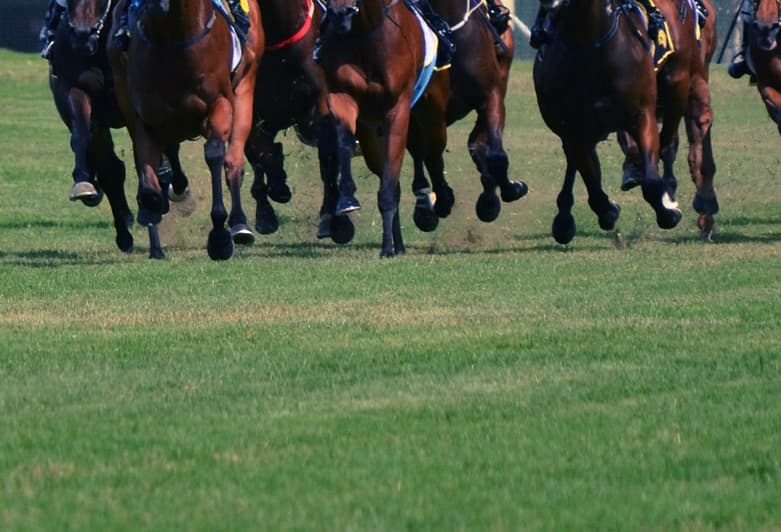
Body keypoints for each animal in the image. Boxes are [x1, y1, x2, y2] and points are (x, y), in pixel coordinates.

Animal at [49, 0, 189, 255]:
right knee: (111, 169)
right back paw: (124, 231)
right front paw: (83, 182)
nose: (82, 37)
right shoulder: (75, 88)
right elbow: (82, 136)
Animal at [107, 0, 264, 259]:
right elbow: (148, 177)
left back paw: (239, 223)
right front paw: (155, 241)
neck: (172, 35)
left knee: (233, 160)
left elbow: (214, 154)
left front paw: (220, 238)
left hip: (245, 87)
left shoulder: (220, 103)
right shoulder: (141, 114)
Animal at [317, 0, 451, 257]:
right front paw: (347, 198)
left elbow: (390, 185)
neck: (365, 33)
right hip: (372, 136)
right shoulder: (342, 96)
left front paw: (386, 248)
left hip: (432, 113)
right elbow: (344, 142)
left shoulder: (398, 110)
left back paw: (441, 201)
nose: (339, 14)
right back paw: (398, 243)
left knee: (433, 154)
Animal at [408, 0, 528, 233]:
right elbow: (426, 155)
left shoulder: (491, 97)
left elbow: (495, 154)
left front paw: (501, 194)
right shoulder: (423, 111)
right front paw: (434, 204)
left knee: (477, 143)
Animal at [533, 0, 685, 244]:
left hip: (678, 88)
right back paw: (564, 216)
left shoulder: (642, 114)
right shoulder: (574, 129)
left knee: (668, 142)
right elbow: (593, 184)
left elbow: (651, 181)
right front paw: (607, 210)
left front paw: (668, 211)